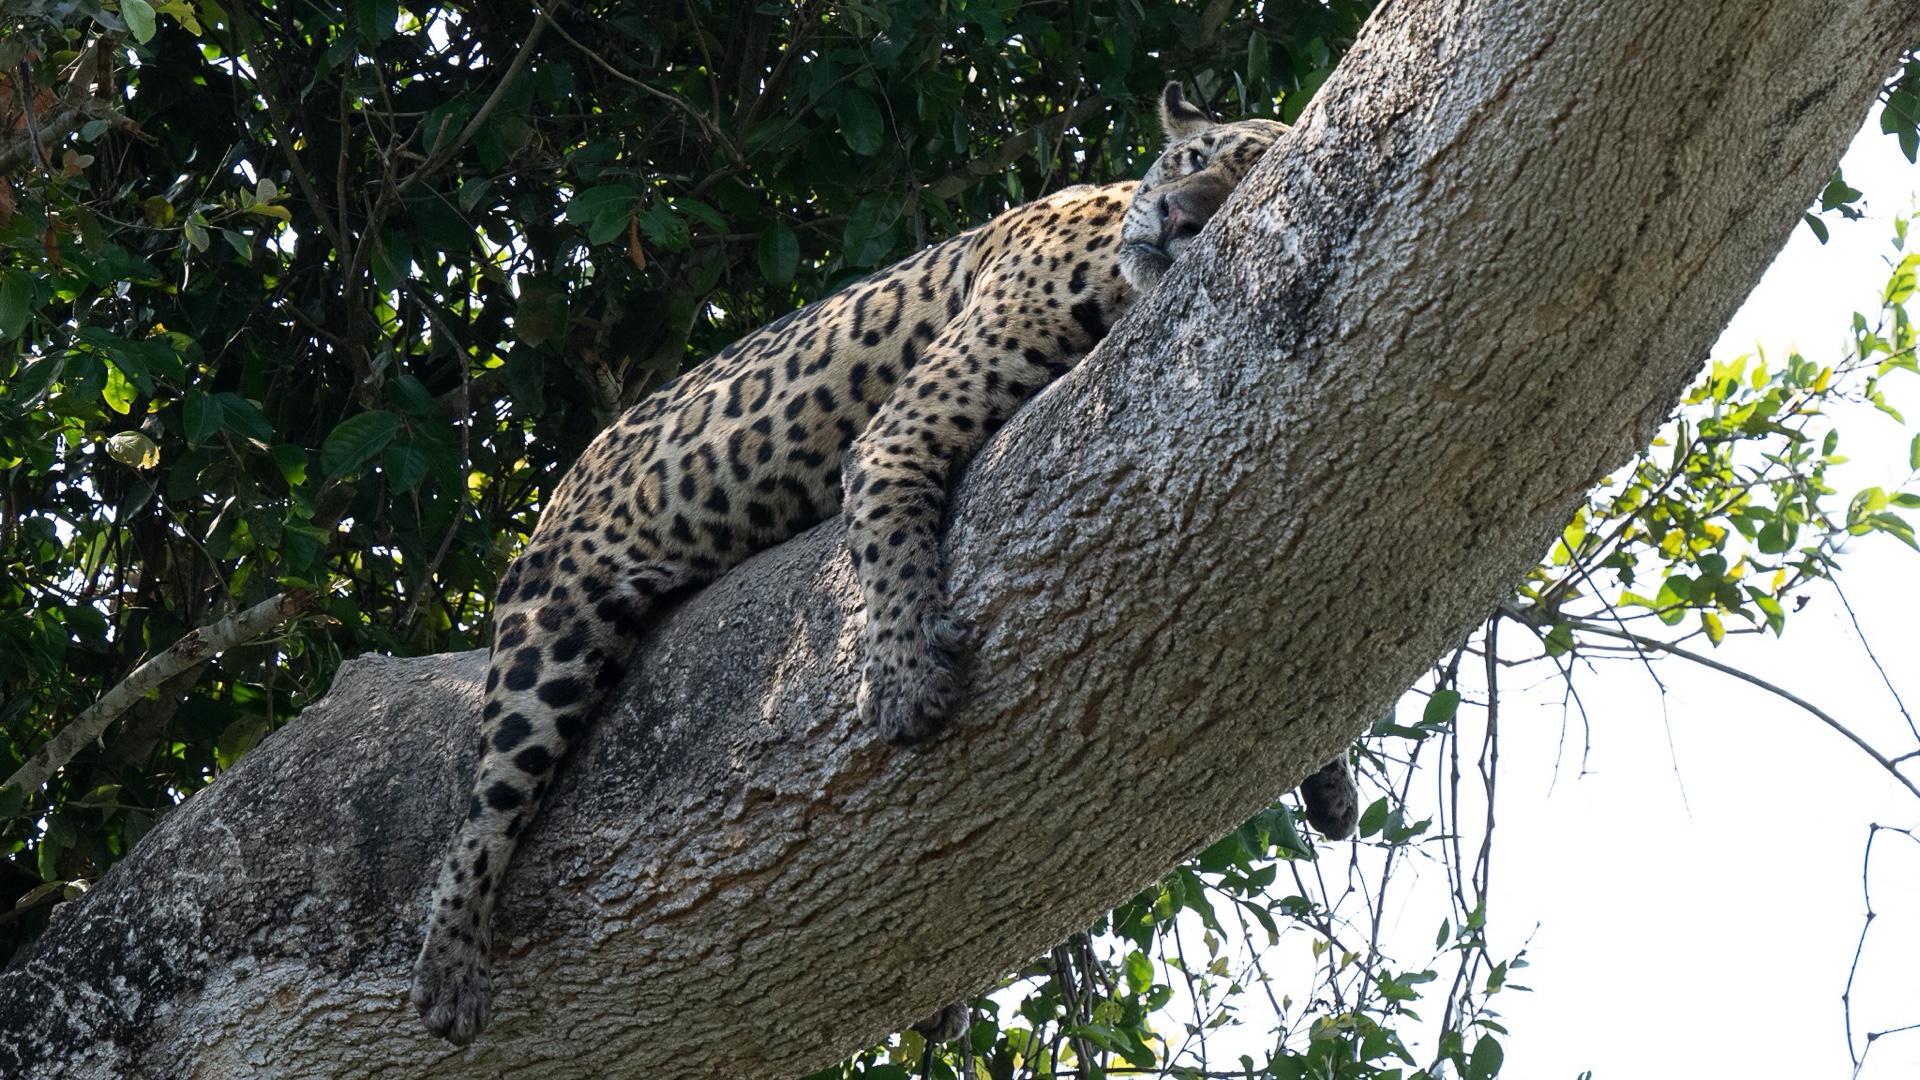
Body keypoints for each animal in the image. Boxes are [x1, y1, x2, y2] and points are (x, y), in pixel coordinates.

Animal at [410, 82, 1361, 1047]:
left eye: (1236, 189)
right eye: (1193, 159)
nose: (1175, 217)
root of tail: (563, 486)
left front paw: (1330, 779)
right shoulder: (901, 429)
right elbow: (891, 537)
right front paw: (904, 677)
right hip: (553, 630)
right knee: (482, 809)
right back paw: (450, 964)